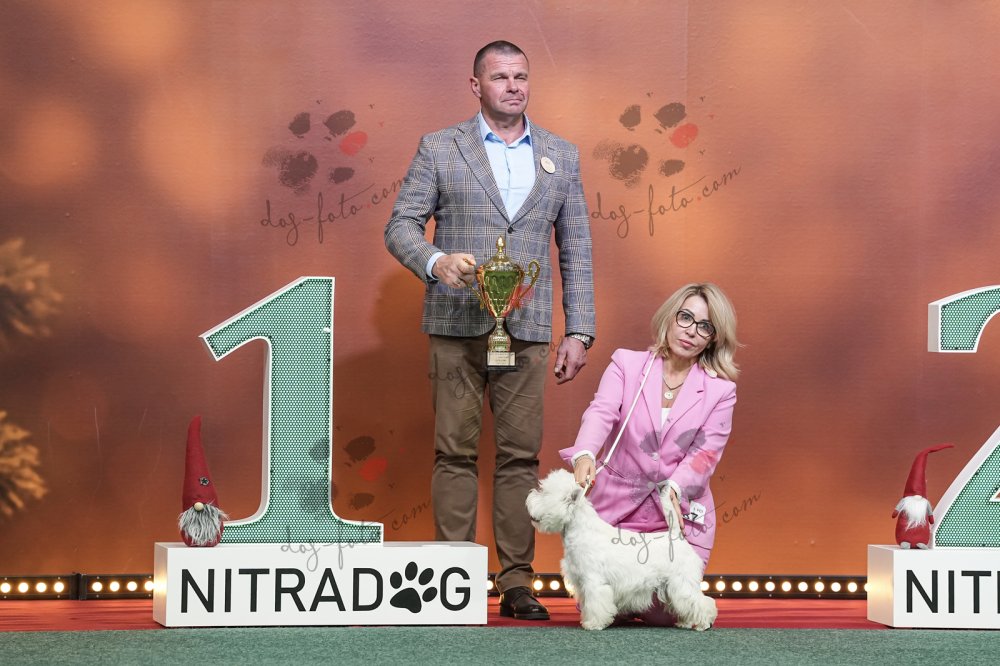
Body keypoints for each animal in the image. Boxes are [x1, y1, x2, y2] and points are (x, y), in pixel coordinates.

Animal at [526, 469, 717, 631]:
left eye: (544, 493)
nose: (528, 497)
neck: (580, 530)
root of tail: (676, 535)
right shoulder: (581, 582)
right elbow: (587, 604)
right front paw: (587, 620)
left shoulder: (593, 581)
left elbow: (596, 603)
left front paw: (593, 624)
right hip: (671, 587)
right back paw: (685, 622)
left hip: (682, 581)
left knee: (701, 601)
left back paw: (703, 624)